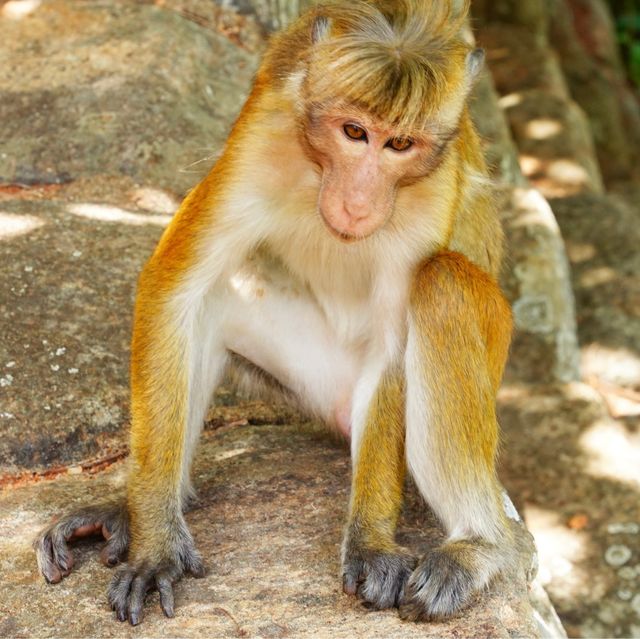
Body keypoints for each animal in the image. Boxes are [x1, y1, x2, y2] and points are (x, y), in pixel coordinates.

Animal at [35, 0, 516, 628]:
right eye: (354, 132)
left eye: (399, 145)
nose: (358, 203)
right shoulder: (263, 135)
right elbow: (174, 291)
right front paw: (155, 538)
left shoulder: (430, 188)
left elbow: (393, 341)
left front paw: (369, 539)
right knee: (211, 300)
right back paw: (140, 505)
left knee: (442, 285)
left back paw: (482, 546)